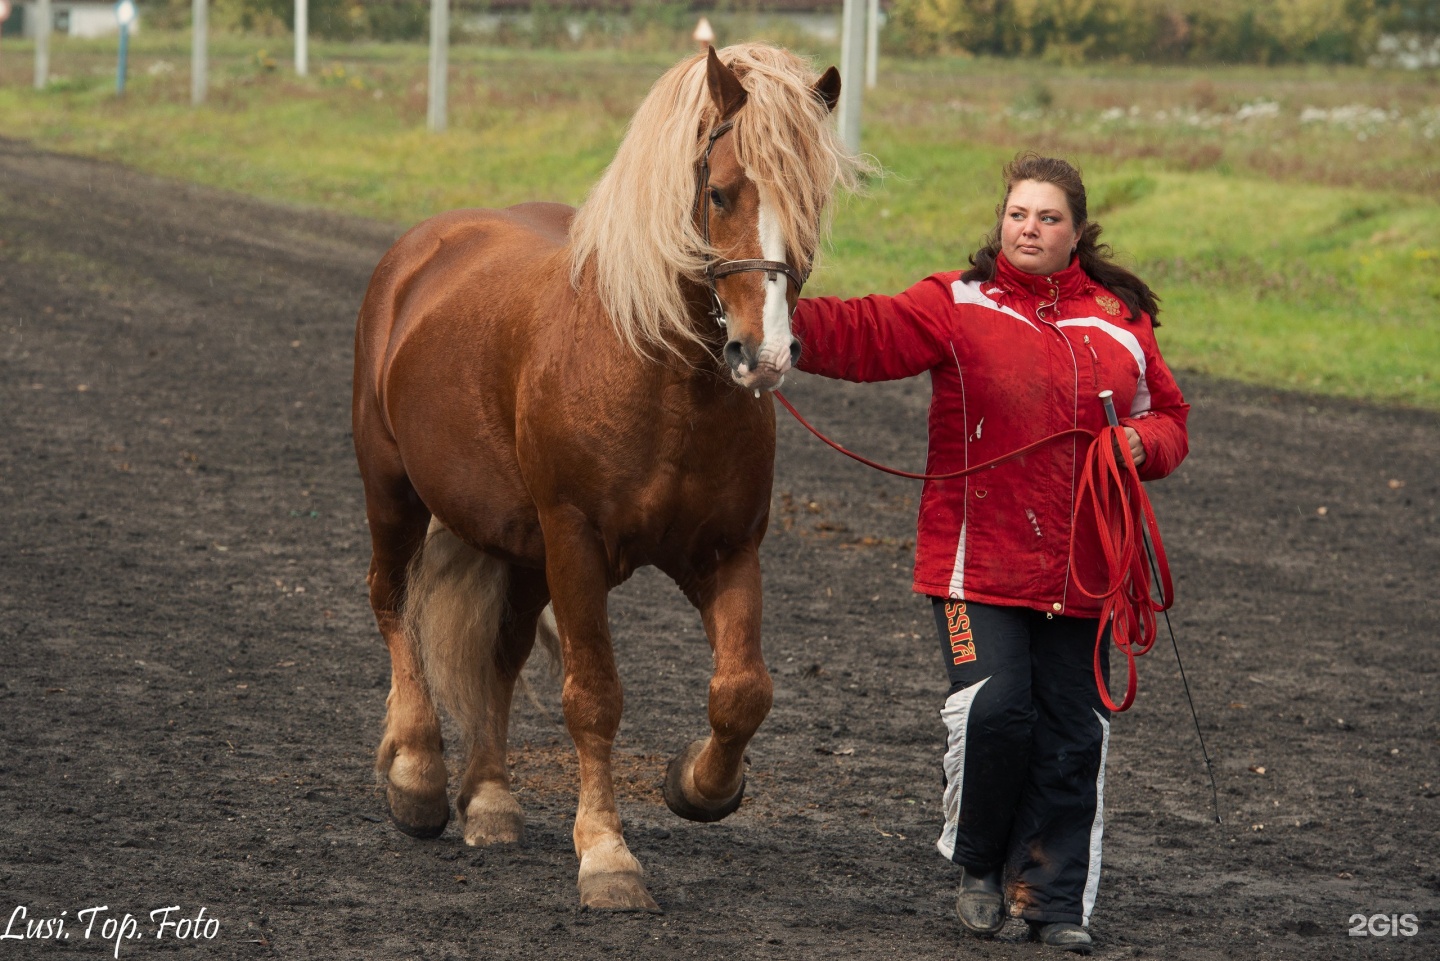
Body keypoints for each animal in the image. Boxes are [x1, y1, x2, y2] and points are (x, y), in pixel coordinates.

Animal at [352, 45, 858, 916]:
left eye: (813, 199)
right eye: (721, 191)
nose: (764, 354)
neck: (657, 374)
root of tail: (421, 248)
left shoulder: (727, 551)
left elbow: (742, 691)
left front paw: (699, 785)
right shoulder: (577, 545)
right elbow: (593, 697)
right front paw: (607, 855)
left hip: (519, 547)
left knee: (500, 655)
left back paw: (490, 798)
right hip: (394, 490)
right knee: (393, 603)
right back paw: (417, 772)